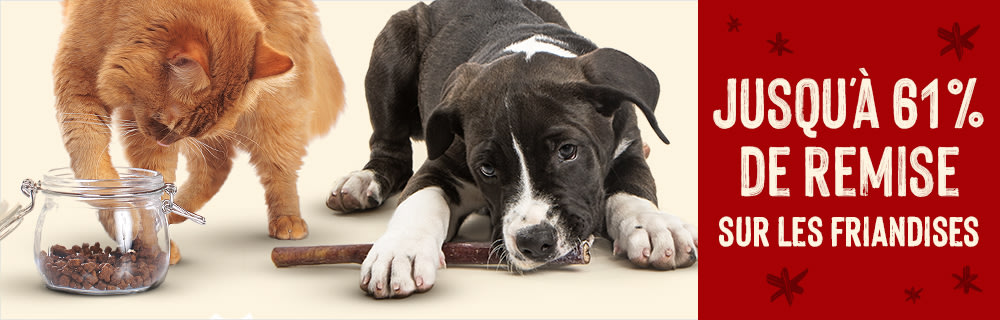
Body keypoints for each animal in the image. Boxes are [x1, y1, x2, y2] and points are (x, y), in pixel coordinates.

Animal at [53, 0, 344, 262]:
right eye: (165, 123)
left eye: (177, 129)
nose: (166, 141)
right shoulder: (79, 81)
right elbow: (95, 164)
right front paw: (128, 222)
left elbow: (152, 180)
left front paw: (149, 239)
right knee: (218, 165)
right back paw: (174, 213)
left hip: (270, 111)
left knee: (275, 167)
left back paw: (287, 219)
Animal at [328, 0, 696, 298]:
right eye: (487, 168)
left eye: (568, 151)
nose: (534, 241)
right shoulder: (438, 166)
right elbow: (418, 202)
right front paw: (399, 251)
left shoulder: (627, 147)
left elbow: (633, 189)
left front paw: (653, 225)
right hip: (392, 50)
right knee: (391, 150)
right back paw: (362, 181)